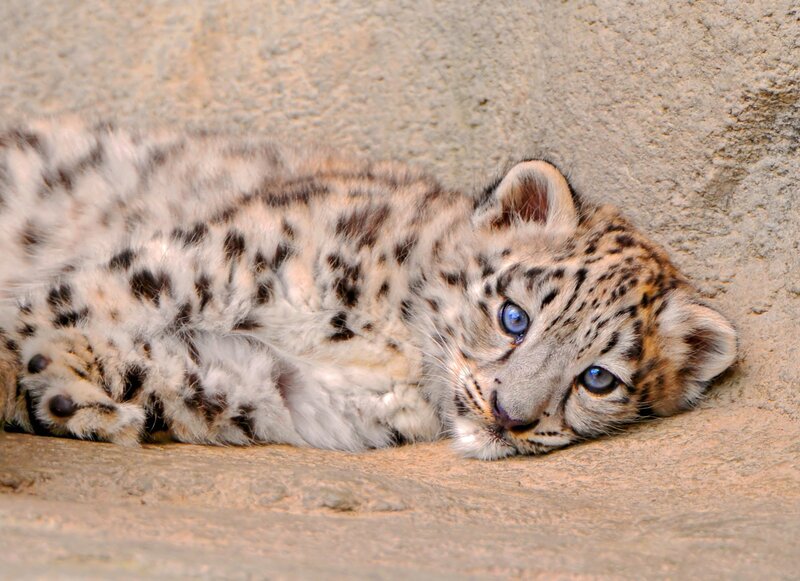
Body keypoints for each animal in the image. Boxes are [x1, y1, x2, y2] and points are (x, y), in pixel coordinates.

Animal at [0, 118, 737, 460]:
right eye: (514, 316)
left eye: (597, 379)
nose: (510, 415)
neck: (387, 344)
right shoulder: (213, 260)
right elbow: (77, 302)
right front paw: (48, 384)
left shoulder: (261, 382)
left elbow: (150, 368)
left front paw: (77, 404)